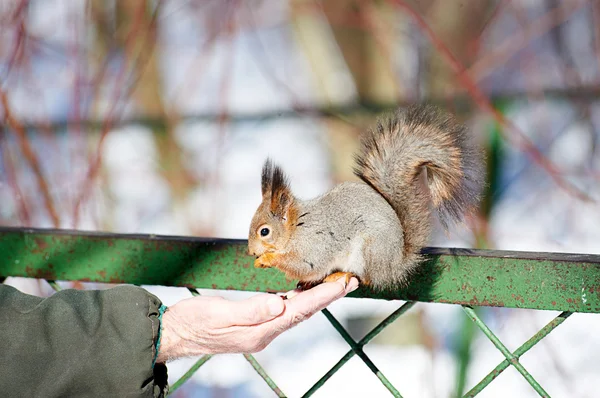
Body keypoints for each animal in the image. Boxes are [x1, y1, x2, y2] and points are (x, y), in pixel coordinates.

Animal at [246, 104, 486, 290]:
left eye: (264, 231)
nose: (250, 252)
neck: (296, 227)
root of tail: (394, 265)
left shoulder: (315, 242)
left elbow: (307, 265)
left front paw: (268, 259)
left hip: (368, 251)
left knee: (367, 278)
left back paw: (343, 274)